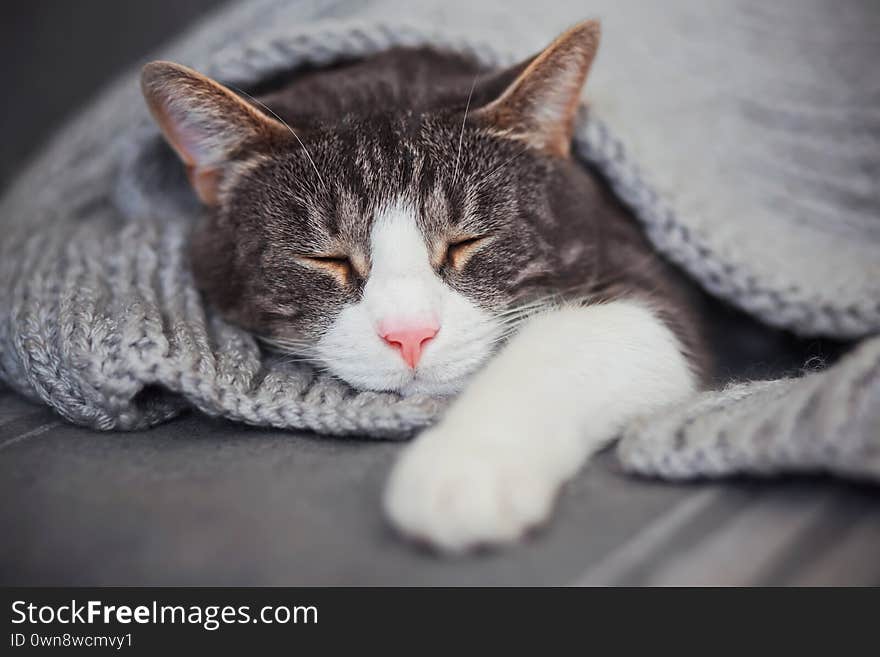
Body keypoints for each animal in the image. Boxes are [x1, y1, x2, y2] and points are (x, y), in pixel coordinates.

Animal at [141, 20, 712, 552]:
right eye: (326, 258)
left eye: (467, 241)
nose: (410, 335)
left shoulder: (635, 267)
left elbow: (588, 336)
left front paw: (466, 466)